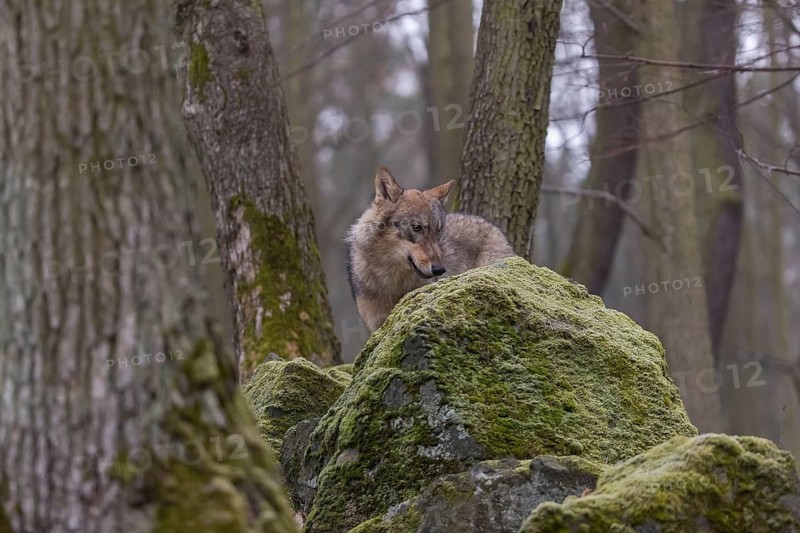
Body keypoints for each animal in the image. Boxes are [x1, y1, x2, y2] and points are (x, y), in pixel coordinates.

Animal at [346, 167, 515, 332]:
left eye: (438, 231)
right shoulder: (376, 328)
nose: (440, 269)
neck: (393, 281)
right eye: (417, 227)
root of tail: (490, 225)